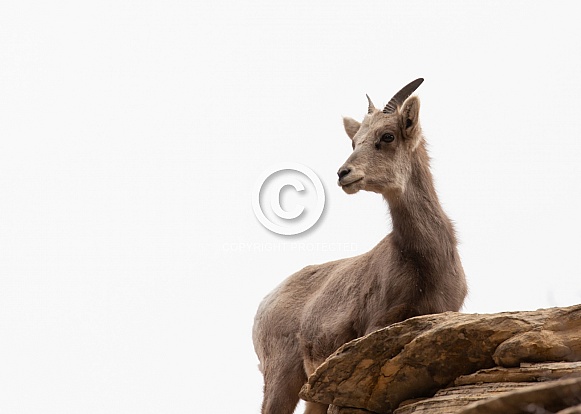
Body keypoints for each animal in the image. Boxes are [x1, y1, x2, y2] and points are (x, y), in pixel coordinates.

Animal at [253, 78, 466, 414]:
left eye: (387, 136)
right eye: (355, 142)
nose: (344, 174)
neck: (425, 265)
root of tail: (265, 304)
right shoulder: (375, 328)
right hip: (281, 378)